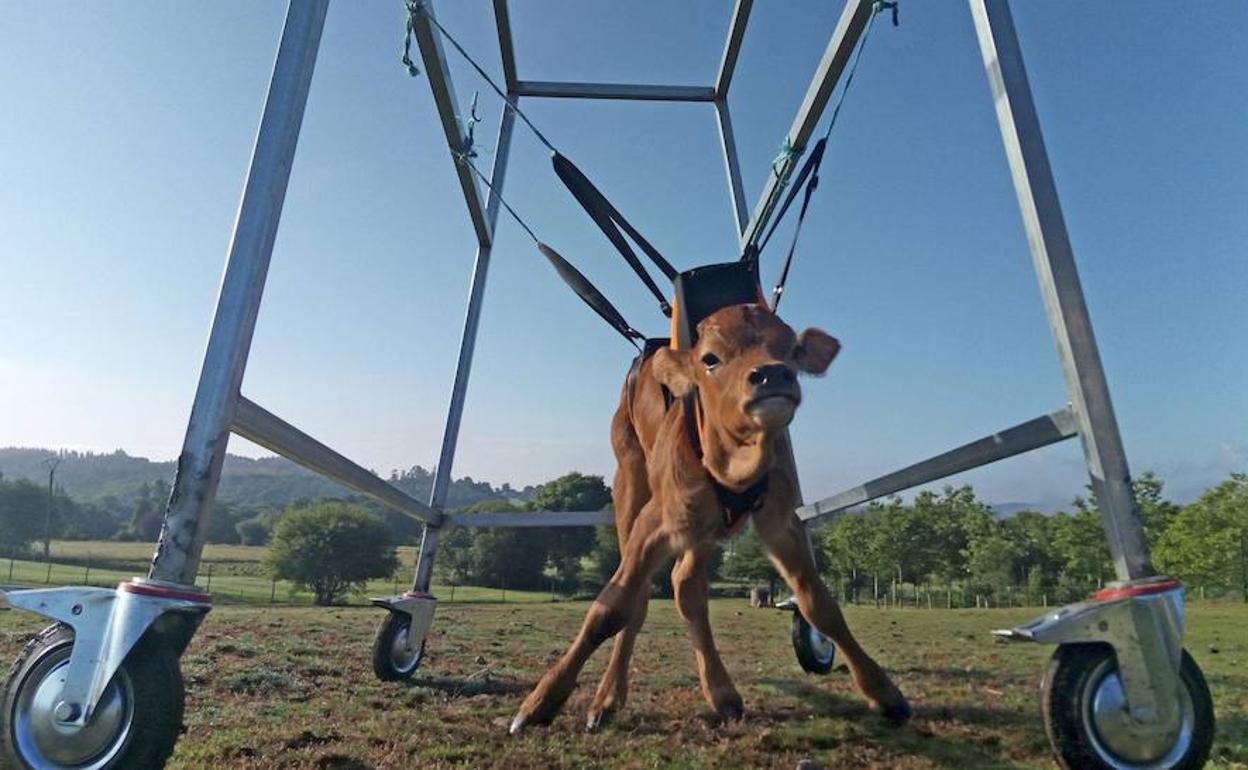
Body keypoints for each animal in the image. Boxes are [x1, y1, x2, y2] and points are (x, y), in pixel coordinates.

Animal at [506, 303, 908, 728]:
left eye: (792, 352)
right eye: (711, 359)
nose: (772, 373)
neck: (735, 464)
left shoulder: (781, 520)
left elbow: (820, 603)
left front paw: (883, 692)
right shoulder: (655, 521)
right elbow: (609, 608)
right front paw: (540, 702)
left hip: (700, 527)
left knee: (686, 586)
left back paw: (722, 694)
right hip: (629, 482)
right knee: (640, 594)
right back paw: (608, 698)